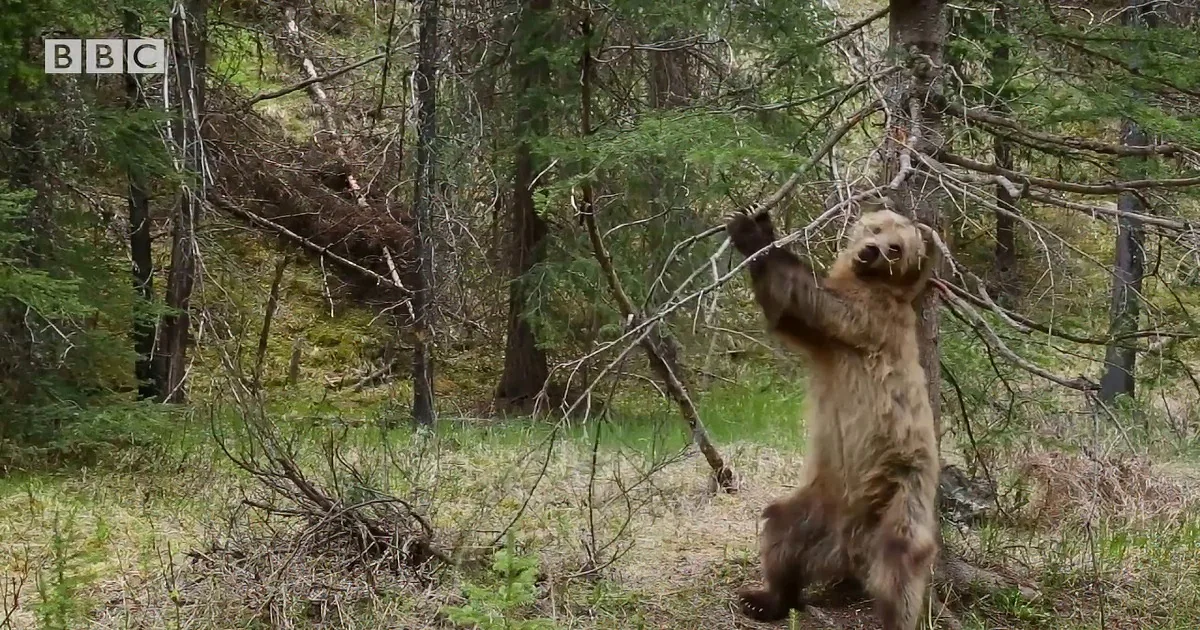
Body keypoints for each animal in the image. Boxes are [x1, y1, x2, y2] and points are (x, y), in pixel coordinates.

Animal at [724, 208, 941, 630]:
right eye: (876, 227)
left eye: (896, 247)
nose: (870, 251)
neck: (869, 282)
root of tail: (850, 545)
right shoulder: (825, 344)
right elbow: (789, 316)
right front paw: (757, 224)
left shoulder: (867, 318)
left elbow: (812, 301)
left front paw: (754, 234)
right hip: (820, 500)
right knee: (781, 529)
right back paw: (765, 599)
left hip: (904, 487)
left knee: (900, 564)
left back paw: (894, 615)